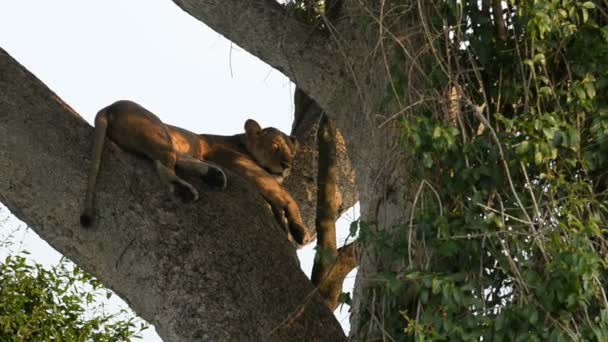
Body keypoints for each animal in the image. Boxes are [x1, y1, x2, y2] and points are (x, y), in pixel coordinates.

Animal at [80, 99, 316, 246]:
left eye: (292, 152)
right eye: (275, 147)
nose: (287, 165)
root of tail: (109, 107)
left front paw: (284, 223)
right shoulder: (246, 167)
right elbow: (286, 197)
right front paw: (299, 230)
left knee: (172, 160)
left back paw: (213, 175)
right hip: (159, 130)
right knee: (164, 166)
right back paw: (186, 189)